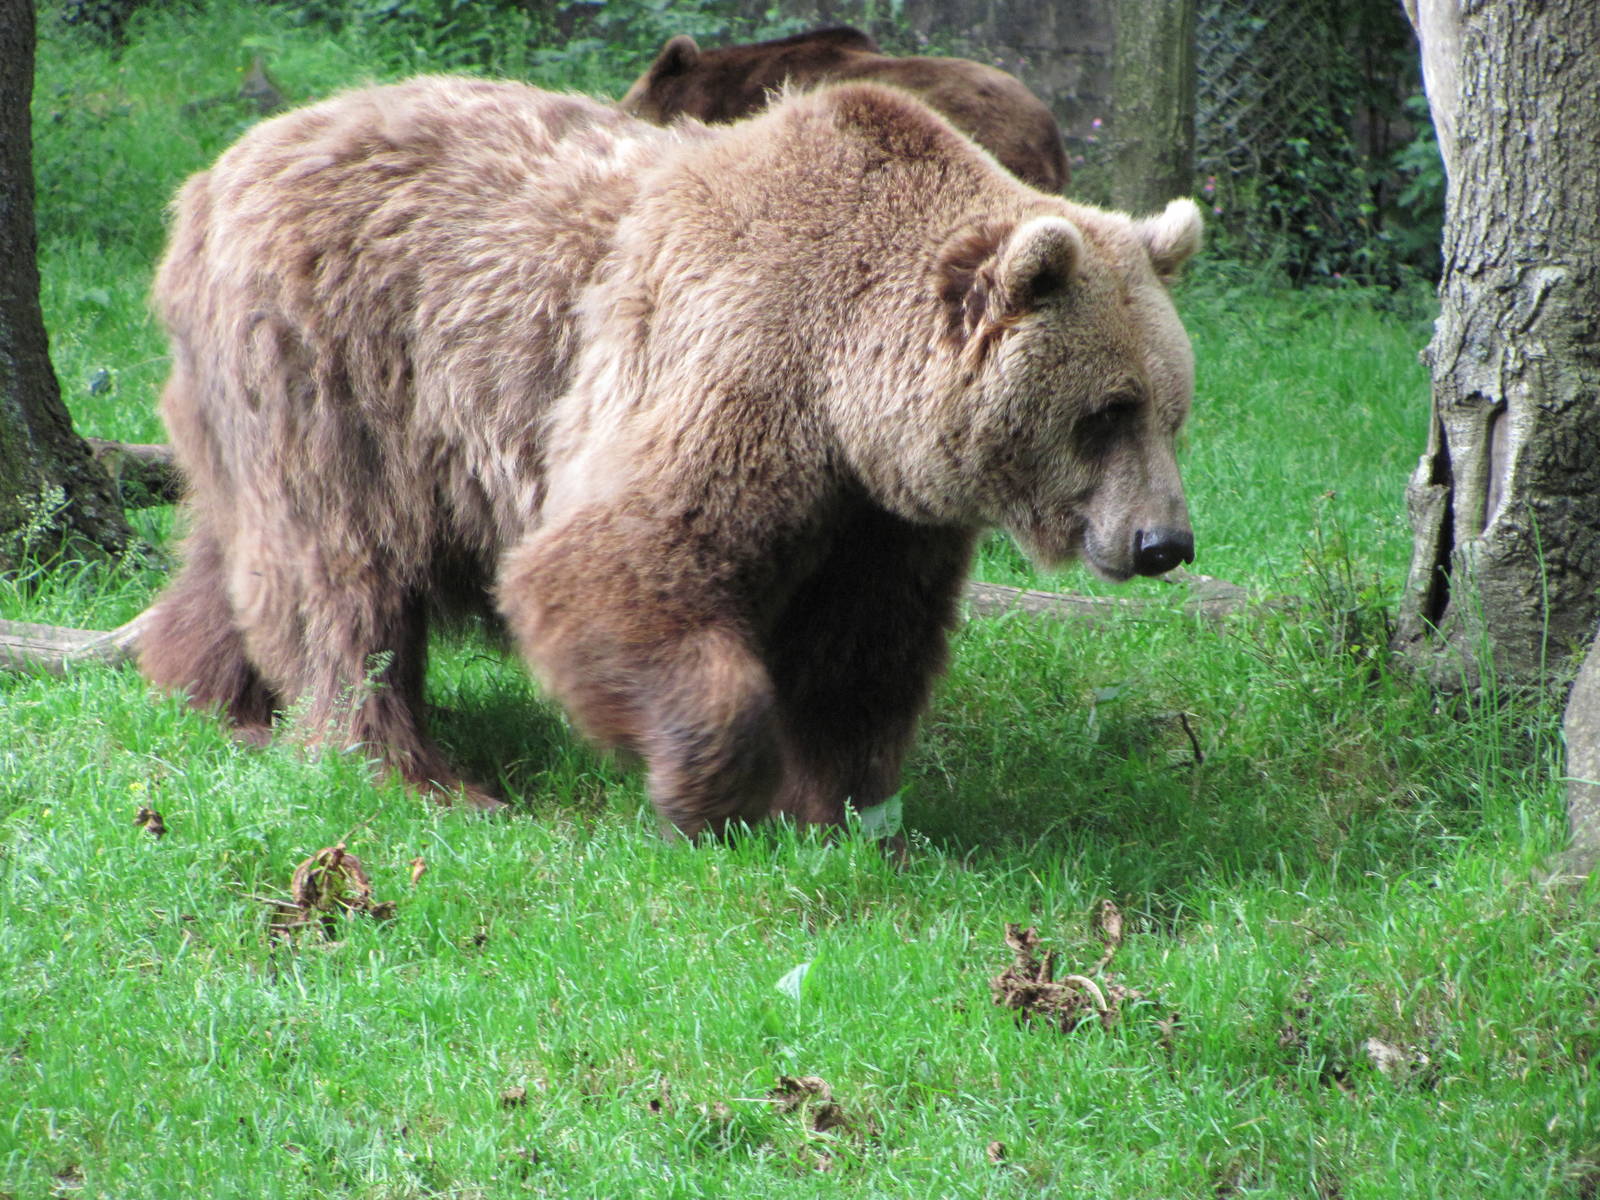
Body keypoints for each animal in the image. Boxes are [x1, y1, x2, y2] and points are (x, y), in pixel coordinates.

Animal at [138, 75, 1201, 836]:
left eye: (1173, 410)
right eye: (1107, 410)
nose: (1165, 542)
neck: (850, 392)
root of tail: (210, 178)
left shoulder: (878, 512)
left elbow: (862, 649)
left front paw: (840, 808)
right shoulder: (733, 362)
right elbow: (616, 563)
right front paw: (709, 790)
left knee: (242, 550)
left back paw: (208, 688)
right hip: (340, 363)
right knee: (343, 574)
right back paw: (409, 773)